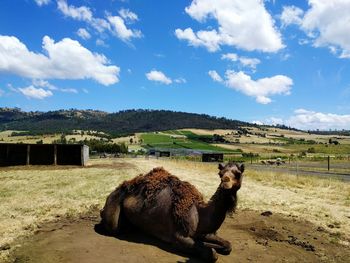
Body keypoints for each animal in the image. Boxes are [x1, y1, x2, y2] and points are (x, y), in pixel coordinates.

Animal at [97, 163, 245, 262]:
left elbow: (228, 245)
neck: (199, 213)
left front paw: (218, 246)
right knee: (114, 226)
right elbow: (211, 254)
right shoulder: (179, 236)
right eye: (220, 174)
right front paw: (212, 249)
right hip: (114, 207)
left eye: (238, 173)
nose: (225, 182)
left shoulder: (204, 232)